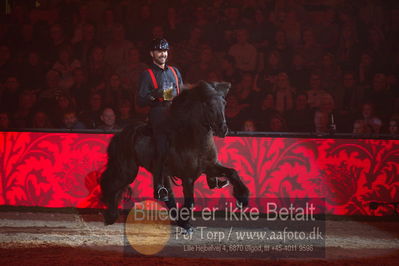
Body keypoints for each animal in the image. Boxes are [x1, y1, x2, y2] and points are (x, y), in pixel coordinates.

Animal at [100, 80, 250, 231]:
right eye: (208, 105)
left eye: (224, 103)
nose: (223, 129)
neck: (193, 139)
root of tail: (120, 133)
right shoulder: (187, 177)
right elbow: (190, 202)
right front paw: (185, 222)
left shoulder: (210, 167)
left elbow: (232, 172)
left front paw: (242, 198)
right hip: (127, 171)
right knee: (111, 185)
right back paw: (109, 215)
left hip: (158, 174)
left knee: (167, 195)